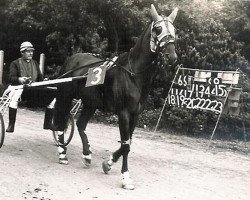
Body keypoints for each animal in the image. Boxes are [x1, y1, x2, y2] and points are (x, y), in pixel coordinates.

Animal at [53, 3, 178, 190]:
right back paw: (62, 153)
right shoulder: (123, 113)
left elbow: (128, 142)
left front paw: (109, 162)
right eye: (158, 29)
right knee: (61, 121)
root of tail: (73, 58)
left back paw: (86, 154)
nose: (172, 56)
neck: (133, 73)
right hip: (65, 96)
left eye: (175, 30)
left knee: (81, 125)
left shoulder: (135, 115)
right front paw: (125, 177)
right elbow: (125, 145)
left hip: (91, 103)